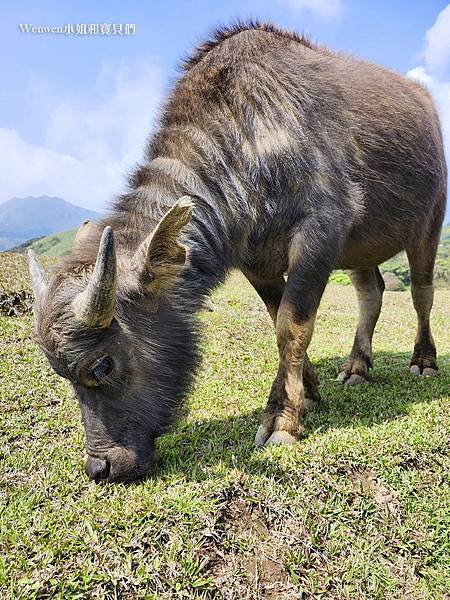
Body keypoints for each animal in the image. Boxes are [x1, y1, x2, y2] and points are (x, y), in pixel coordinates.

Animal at [29, 22, 446, 482]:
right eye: (60, 373)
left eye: (103, 365)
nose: (100, 466)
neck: (251, 141)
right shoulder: (255, 262)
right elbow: (278, 319)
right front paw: (308, 392)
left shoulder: (319, 235)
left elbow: (292, 327)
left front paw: (282, 419)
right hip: (359, 251)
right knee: (371, 294)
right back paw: (356, 366)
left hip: (428, 227)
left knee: (421, 294)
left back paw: (424, 360)